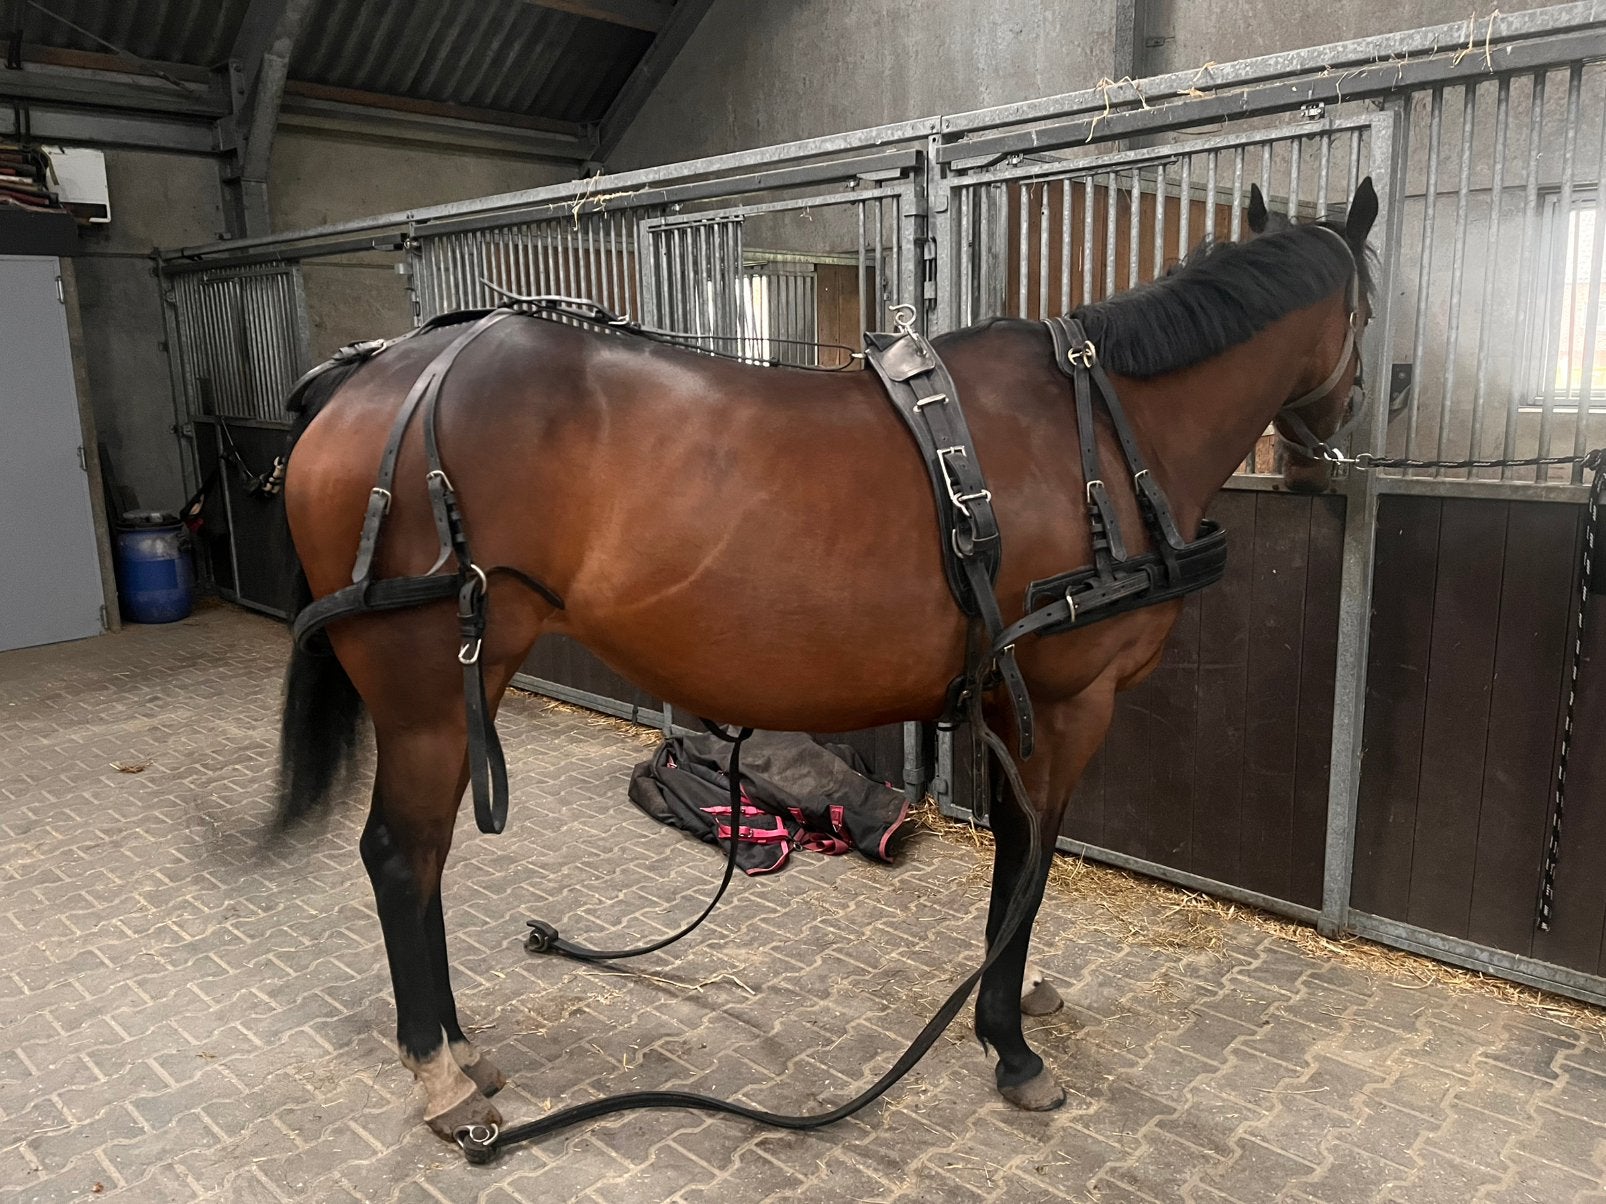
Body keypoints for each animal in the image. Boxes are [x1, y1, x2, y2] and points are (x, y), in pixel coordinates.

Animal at [272, 178, 1378, 1142]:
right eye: (1369, 310)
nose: (1326, 446)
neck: (1102, 438)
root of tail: (382, 375)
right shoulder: (1065, 702)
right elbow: (1031, 856)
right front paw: (1008, 1044)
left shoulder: (1008, 699)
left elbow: (1012, 860)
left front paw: (1006, 1000)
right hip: (422, 691)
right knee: (401, 855)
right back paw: (440, 1069)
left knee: (427, 856)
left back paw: (461, 1046)